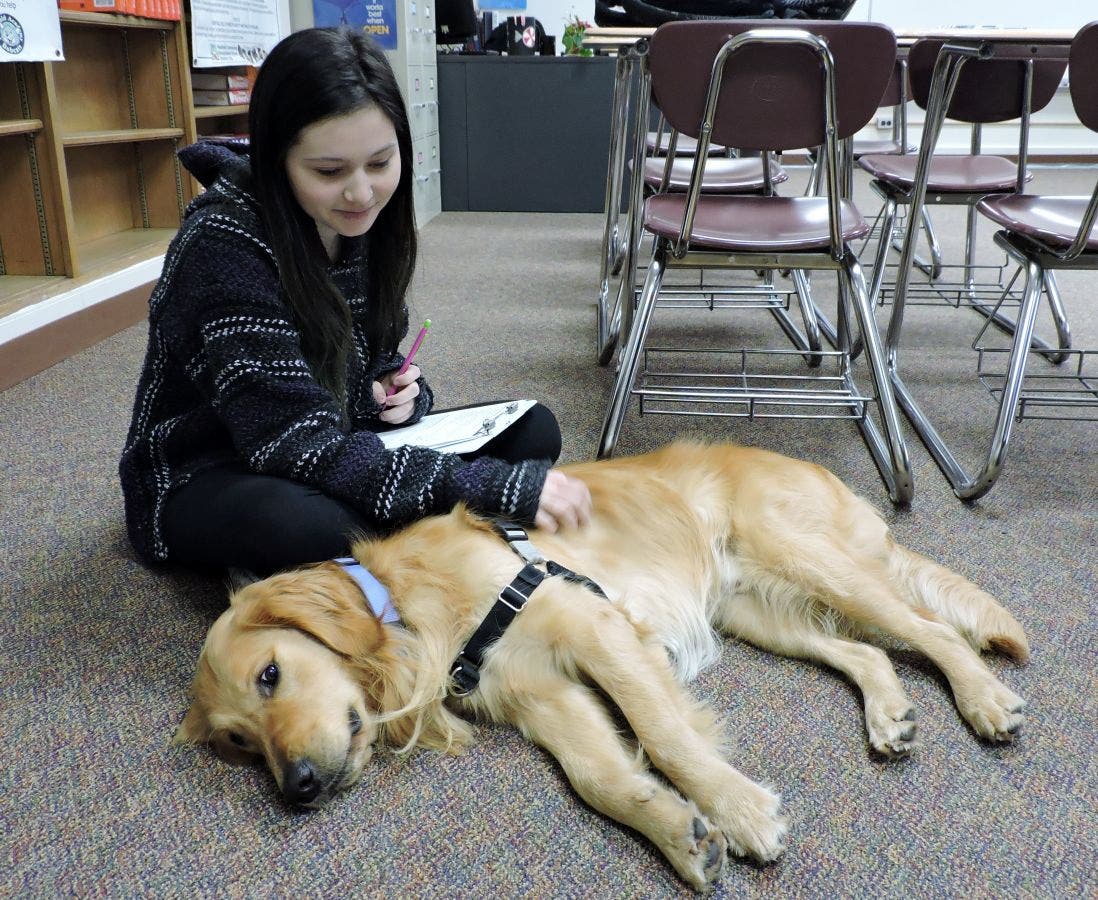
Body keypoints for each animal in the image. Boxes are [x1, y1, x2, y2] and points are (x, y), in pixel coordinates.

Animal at [177, 439, 1027, 891]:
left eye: (271, 675)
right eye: (239, 744)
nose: (297, 789)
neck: (414, 611)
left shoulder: (593, 626)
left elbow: (665, 735)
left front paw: (737, 809)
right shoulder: (543, 696)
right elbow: (600, 777)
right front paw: (681, 832)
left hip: (806, 556)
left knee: (929, 629)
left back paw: (984, 699)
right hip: (759, 608)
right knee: (864, 648)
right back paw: (891, 714)